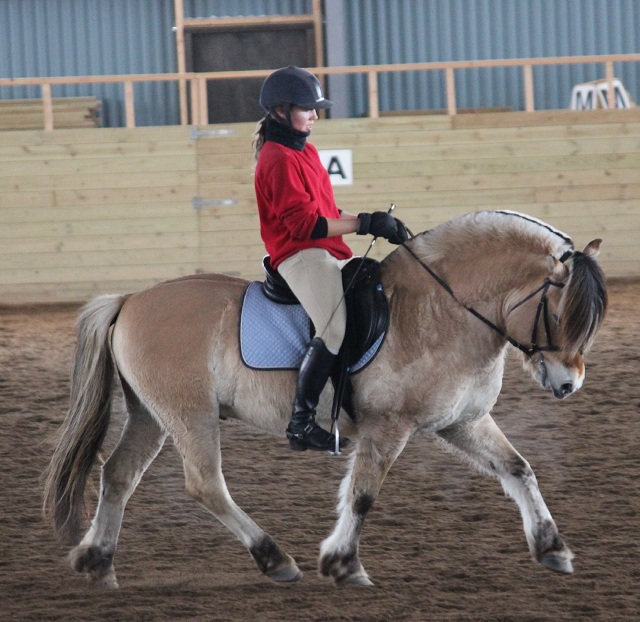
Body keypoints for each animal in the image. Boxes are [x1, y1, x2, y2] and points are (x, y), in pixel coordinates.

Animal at [43, 211, 604, 588]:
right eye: (562, 314)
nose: (568, 385)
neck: (442, 307)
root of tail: (130, 300)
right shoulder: (388, 426)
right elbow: (362, 495)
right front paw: (342, 564)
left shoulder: (462, 422)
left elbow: (519, 469)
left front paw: (552, 547)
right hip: (190, 415)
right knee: (205, 485)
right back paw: (274, 559)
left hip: (152, 415)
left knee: (118, 474)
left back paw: (97, 562)